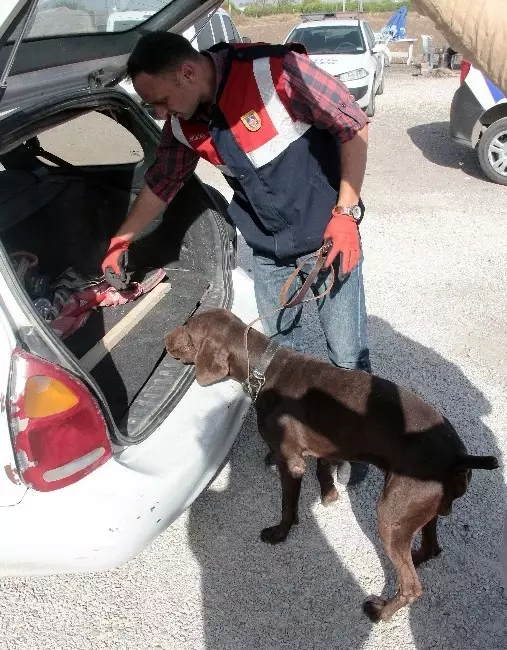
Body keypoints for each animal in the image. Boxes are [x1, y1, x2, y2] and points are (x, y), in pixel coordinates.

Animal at [165, 308, 498, 624]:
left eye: (188, 328)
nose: (165, 340)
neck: (264, 368)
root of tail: (457, 456)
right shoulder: (326, 446)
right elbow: (322, 469)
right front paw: (329, 494)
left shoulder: (291, 462)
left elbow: (288, 506)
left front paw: (279, 533)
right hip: (422, 510)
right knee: (429, 549)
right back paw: (413, 559)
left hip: (392, 513)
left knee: (412, 587)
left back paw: (381, 611)